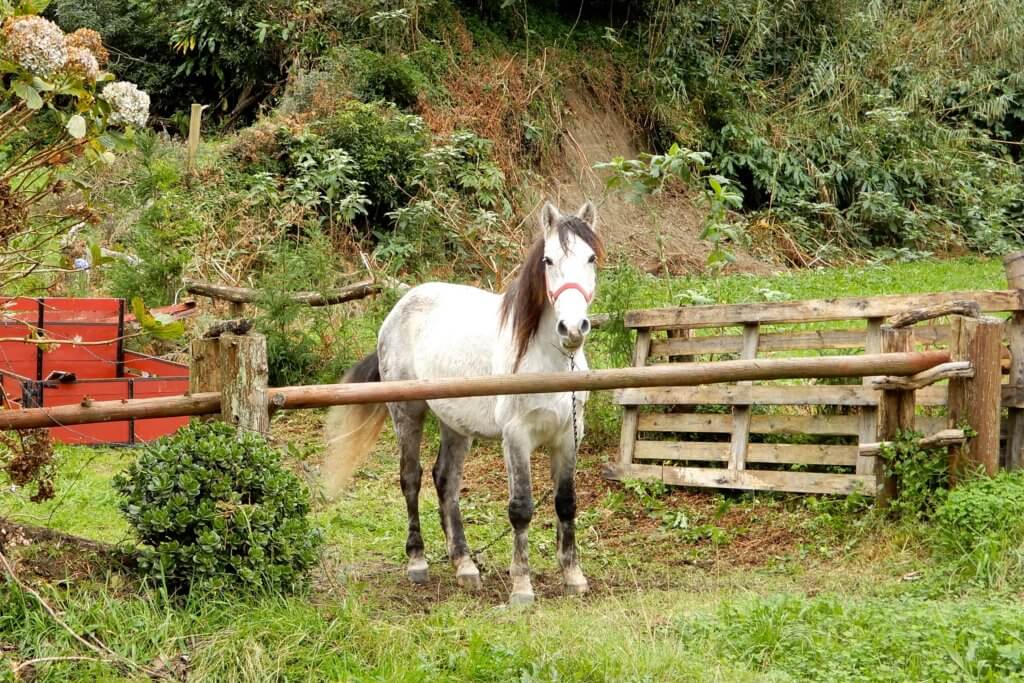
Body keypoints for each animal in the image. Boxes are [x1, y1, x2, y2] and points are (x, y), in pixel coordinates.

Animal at [323, 200, 602, 606]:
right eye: (548, 260)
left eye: (591, 258)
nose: (572, 328)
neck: (546, 359)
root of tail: (399, 308)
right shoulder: (515, 437)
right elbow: (521, 509)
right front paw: (522, 587)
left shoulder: (568, 437)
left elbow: (566, 503)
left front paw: (573, 576)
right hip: (407, 414)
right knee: (411, 479)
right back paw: (418, 562)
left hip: (455, 424)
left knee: (446, 481)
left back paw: (464, 565)